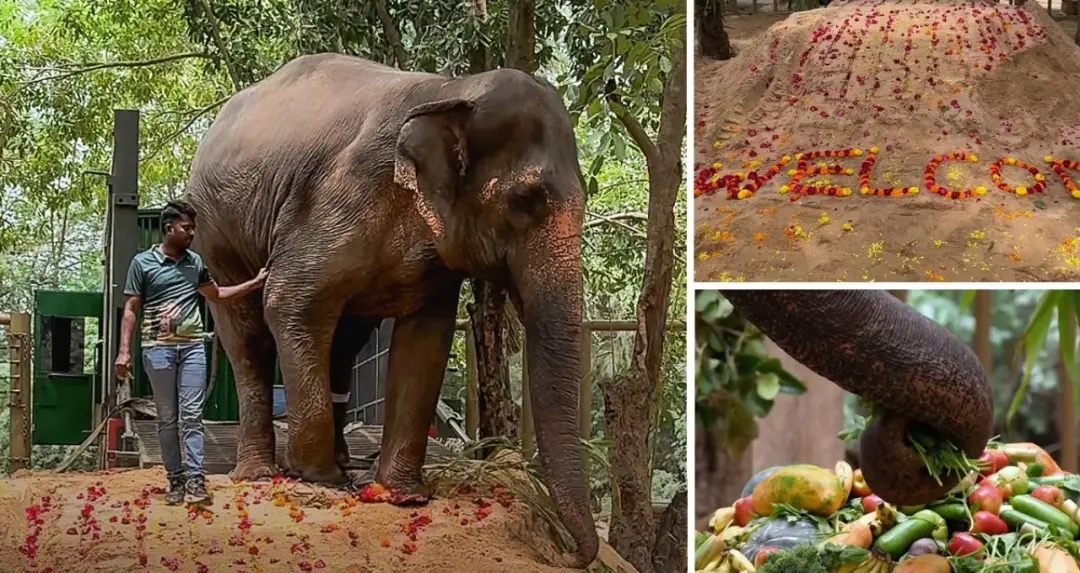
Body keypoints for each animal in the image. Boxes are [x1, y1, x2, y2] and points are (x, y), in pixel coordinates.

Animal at [186, 53, 597, 567]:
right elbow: (289, 299)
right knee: (249, 337)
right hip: (214, 235)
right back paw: (263, 473)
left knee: (344, 342)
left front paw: (402, 494)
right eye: (525, 200)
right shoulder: (340, 199)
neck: (452, 89)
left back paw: (340, 460)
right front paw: (320, 480)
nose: (569, 554)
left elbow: (426, 338)